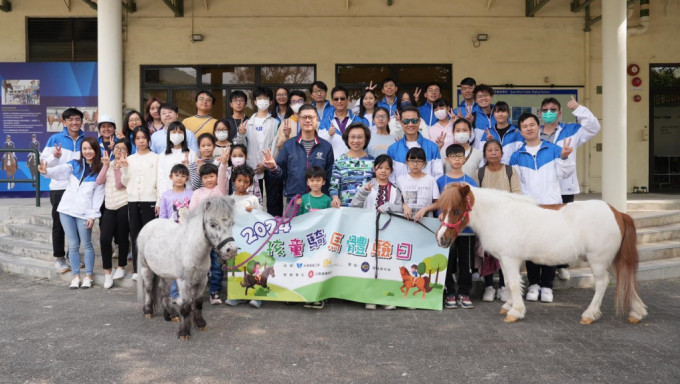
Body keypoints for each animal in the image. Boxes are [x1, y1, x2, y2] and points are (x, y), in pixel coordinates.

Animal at [135, 196, 239, 340]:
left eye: (231, 223)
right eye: (213, 224)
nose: (231, 250)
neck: (191, 248)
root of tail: (149, 224)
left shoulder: (202, 280)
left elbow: (198, 302)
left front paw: (200, 324)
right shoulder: (183, 281)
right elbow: (185, 305)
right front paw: (184, 333)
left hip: (166, 273)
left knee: (163, 291)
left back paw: (171, 315)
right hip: (146, 268)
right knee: (149, 289)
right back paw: (148, 311)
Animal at [436, 184, 648, 326]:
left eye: (457, 210)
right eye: (443, 209)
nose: (441, 238)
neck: (500, 215)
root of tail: (618, 213)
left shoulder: (510, 259)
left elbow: (513, 284)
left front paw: (515, 312)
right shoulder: (504, 260)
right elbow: (510, 283)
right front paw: (509, 306)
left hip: (598, 260)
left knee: (602, 283)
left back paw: (589, 314)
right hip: (611, 261)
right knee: (624, 278)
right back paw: (636, 313)